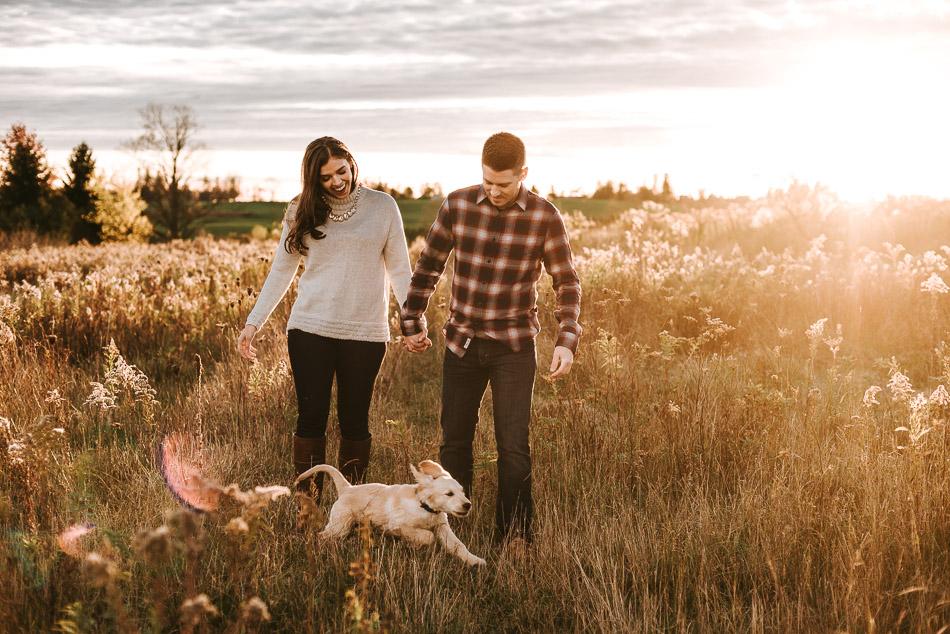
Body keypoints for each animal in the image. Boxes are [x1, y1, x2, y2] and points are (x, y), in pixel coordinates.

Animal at [296, 456, 490, 564]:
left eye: (462, 492)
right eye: (449, 494)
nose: (467, 505)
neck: (425, 507)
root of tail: (347, 488)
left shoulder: (442, 528)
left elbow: (459, 546)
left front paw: (475, 561)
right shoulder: (399, 524)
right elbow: (427, 536)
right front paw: (417, 543)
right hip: (339, 526)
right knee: (322, 536)